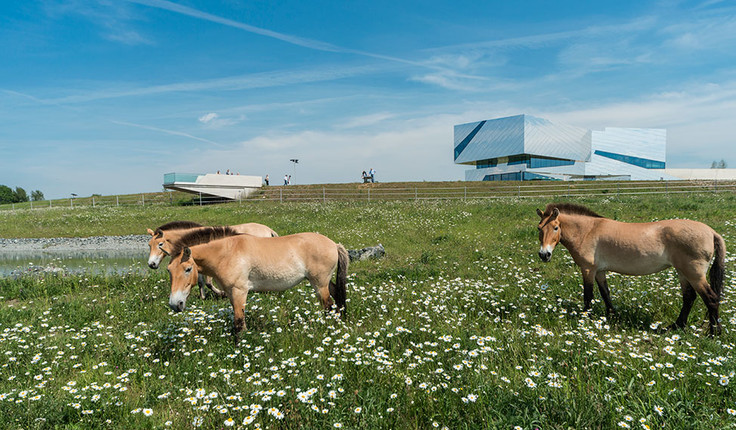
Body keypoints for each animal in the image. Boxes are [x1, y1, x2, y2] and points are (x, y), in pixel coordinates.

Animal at [167, 227, 350, 340]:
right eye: (169, 270)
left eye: (188, 269)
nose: (175, 304)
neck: (227, 252)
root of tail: (334, 244)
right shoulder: (231, 293)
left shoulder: (239, 291)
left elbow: (239, 323)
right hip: (324, 283)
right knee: (337, 298)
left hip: (319, 285)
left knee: (328, 306)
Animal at [536, 203, 728, 334]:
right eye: (539, 228)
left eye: (555, 227)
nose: (544, 254)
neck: (587, 231)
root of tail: (711, 232)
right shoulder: (599, 271)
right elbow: (605, 294)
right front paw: (612, 316)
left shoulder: (588, 270)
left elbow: (588, 296)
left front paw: (586, 319)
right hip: (683, 273)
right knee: (689, 298)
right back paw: (676, 326)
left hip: (694, 274)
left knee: (711, 299)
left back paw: (713, 333)